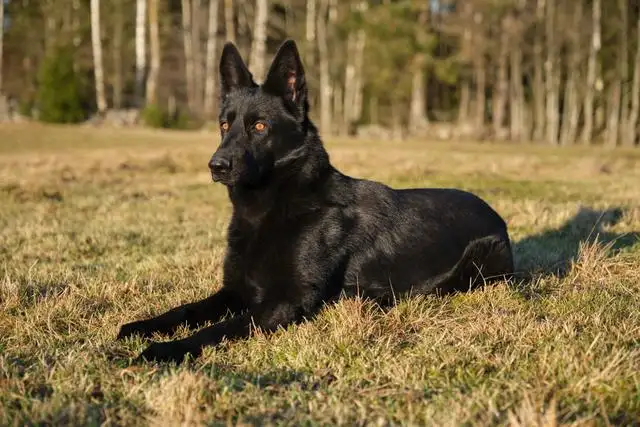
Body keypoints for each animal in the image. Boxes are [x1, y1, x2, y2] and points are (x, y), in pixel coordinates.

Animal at [116, 40, 516, 362]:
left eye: (259, 126)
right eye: (224, 126)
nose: (216, 166)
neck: (273, 206)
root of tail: (495, 214)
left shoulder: (287, 301)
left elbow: (219, 328)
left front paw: (167, 349)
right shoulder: (235, 290)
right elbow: (185, 311)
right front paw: (143, 326)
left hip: (477, 260)